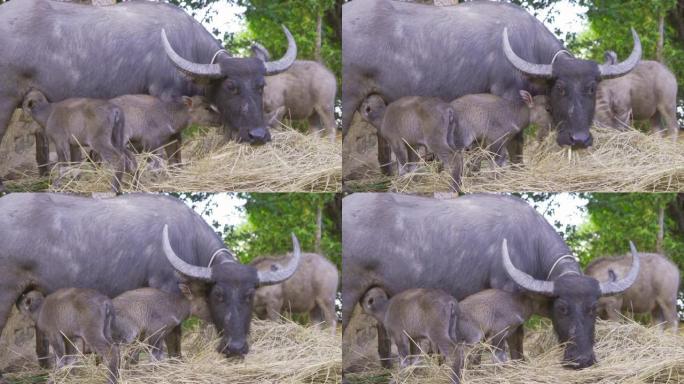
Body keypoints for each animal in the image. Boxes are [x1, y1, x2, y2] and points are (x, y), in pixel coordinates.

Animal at [0, 0, 296, 192]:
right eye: (231, 86)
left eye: (261, 85)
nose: (258, 136)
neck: (186, 47)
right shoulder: (165, 98)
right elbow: (172, 143)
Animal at [0, 194, 300, 376]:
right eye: (219, 295)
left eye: (250, 295)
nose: (236, 348)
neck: (187, 239)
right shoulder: (165, 293)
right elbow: (172, 338)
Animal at [344, 195, 644, 368]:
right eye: (562, 308)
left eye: (593, 309)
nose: (583, 360)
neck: (529, 243)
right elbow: (514, 338)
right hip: (348, 294)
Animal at [348, 0, 640, 171]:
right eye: (560, 88)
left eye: (592, 88)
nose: (579, 139)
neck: (528, 46)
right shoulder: (506, 97)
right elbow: (514, 141)